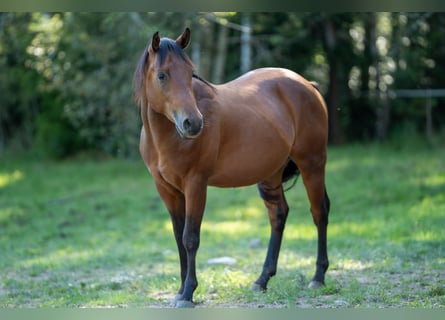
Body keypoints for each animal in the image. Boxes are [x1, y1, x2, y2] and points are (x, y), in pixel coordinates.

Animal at [132, 27, 330, 308]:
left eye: (190, 73)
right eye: (162, 75)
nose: (193, 123)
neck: (167, 138)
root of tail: (307, 85)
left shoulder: (196, 185)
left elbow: (190, 238)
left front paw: (189, 293)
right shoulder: (167, 190)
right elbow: (178, 238)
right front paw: (180, 291)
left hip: (312, 163)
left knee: (319, 212)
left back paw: (318, 277)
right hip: (271, 175)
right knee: (278, 215)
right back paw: (262, 280)